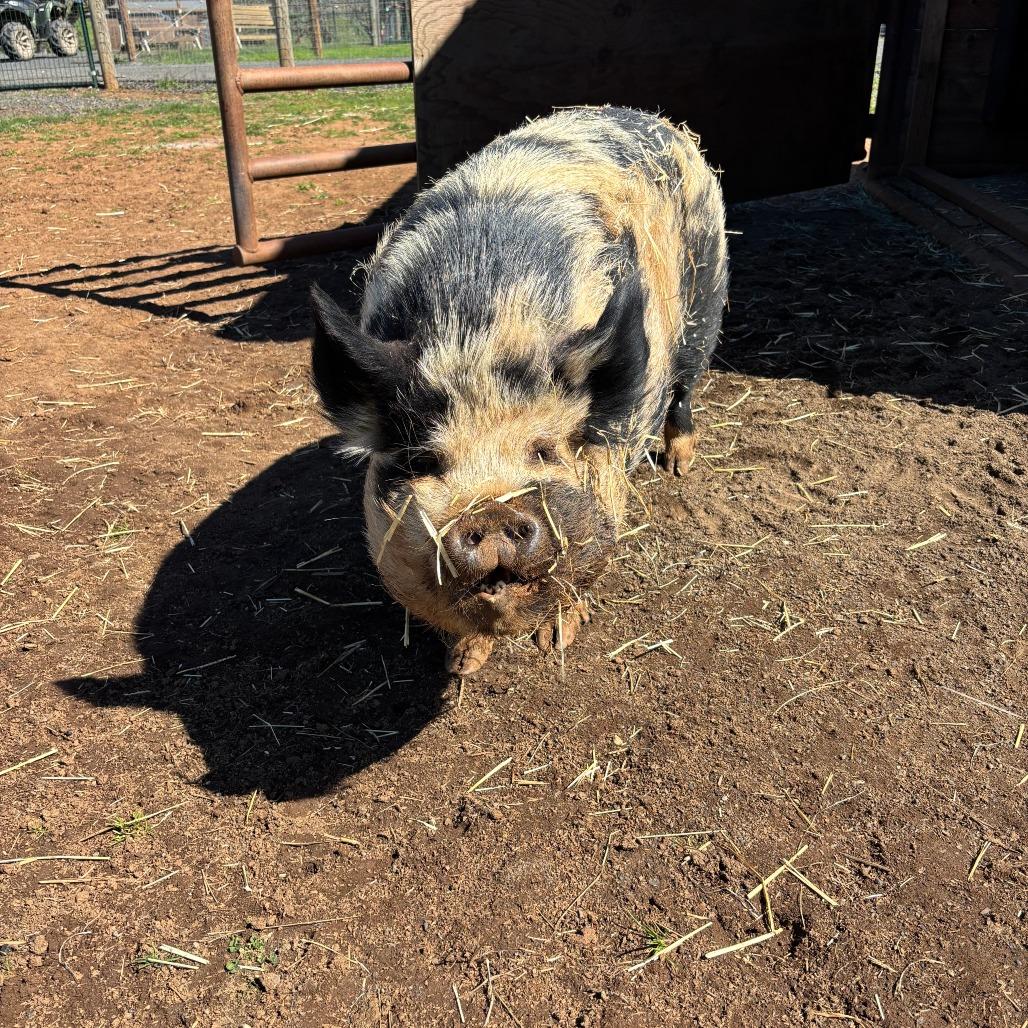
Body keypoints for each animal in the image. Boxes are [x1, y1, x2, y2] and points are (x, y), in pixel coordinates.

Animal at [310, 106, 728, 675]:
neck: (481, 326)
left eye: (544, 450)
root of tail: (651, 119)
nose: (490, 510)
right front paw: (463, 664)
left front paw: (557, 642)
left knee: (685, 389)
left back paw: (680, 466)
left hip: (705, 301)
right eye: (425, 462)